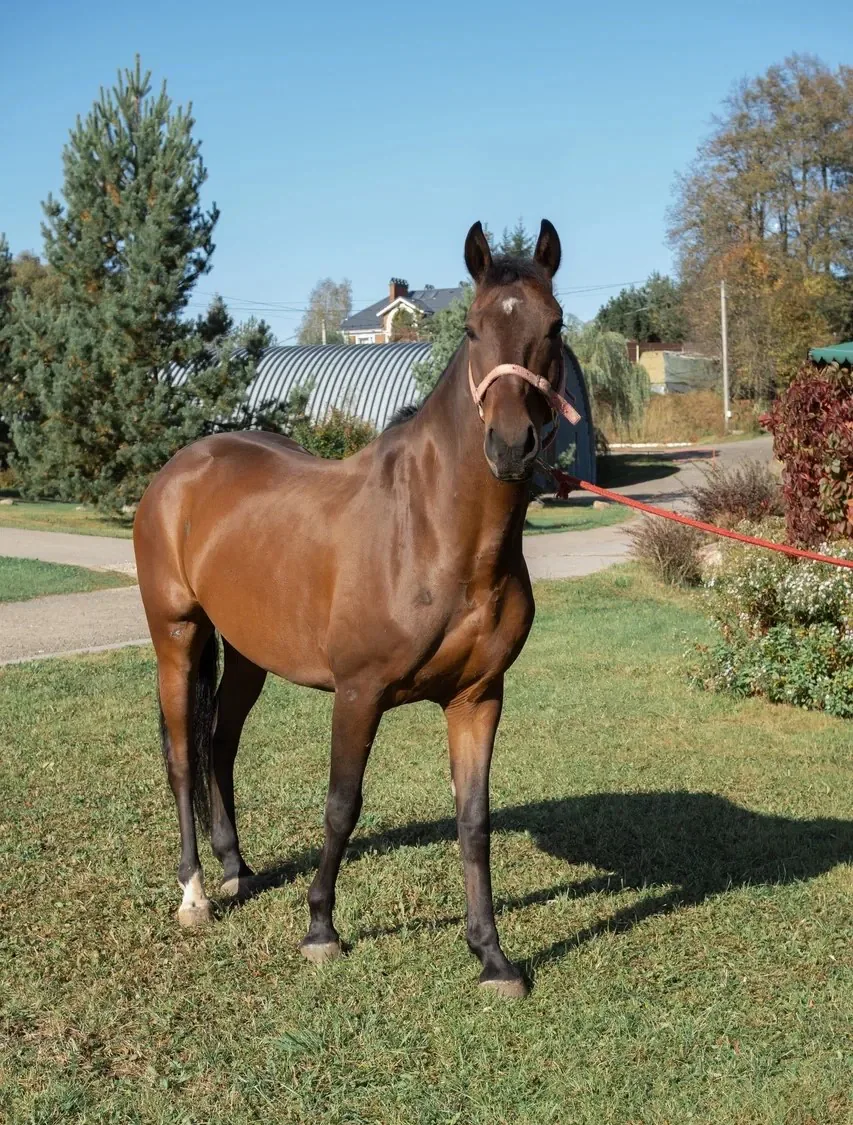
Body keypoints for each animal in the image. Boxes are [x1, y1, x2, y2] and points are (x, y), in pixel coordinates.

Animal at [133, 219, 573, 998]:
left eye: (553, 325)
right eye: (471, 328)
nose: (511, 447)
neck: (434, 532)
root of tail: (179, 470)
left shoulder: (478, 697)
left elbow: (474, 820)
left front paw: (491, 956)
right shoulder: (358, 693)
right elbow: (342, 805)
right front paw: (320, 929)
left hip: (248, 653)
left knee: (220, 744)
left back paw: (235, 869)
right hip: (177, 635)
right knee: (184, 757)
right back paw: (194, 894)